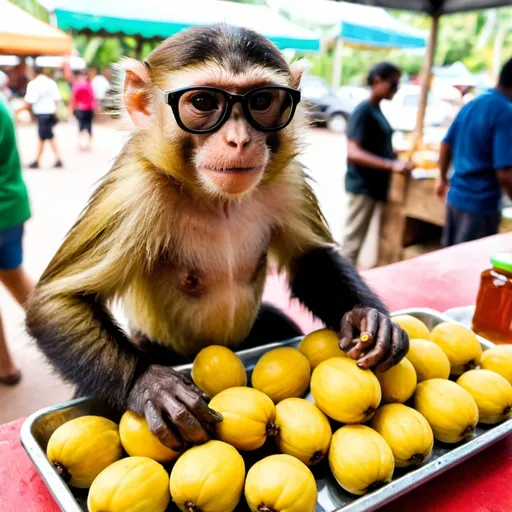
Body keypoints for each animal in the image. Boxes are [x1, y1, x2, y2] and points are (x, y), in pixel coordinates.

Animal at [25, 23, 408, 448]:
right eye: (203, 101)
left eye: (262, 100)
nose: (239, 140)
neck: (215, 198)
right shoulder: (133, 191)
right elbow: (57, 301)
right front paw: (150, 384)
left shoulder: (286, 178)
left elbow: (309, 256)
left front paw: (365, 317)